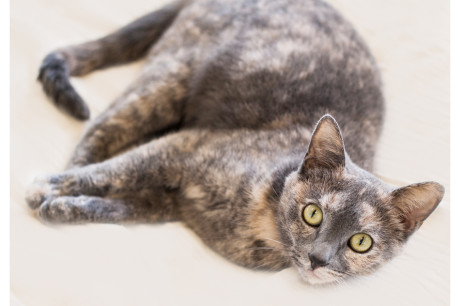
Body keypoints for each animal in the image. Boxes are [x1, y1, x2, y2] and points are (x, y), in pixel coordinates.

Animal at [25, 0, 442, 284]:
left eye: (361, 243)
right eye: (313, 213)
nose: (319, 259)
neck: (261, 224)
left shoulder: (168, 201)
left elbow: (120, 207)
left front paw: (63, 208)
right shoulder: (185, 148)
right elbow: (112, 173)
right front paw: (47, 190)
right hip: (166, 81)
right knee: (99, 134)